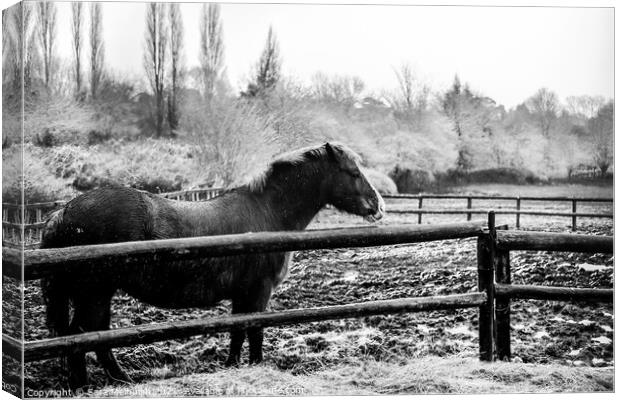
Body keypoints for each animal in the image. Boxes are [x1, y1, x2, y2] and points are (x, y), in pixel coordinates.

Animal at [40, 142, 382, 390]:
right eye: (353, 172)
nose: (378, 205)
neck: (267, 213)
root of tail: (64, 212)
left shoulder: (243, 294)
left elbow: (238, 331)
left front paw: (232, 366)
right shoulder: (259, 292)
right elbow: (254, 331)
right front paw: (256, 365)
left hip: (98, 295)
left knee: (95, 338)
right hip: (94, 294)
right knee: (82, 337)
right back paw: (88, 384)